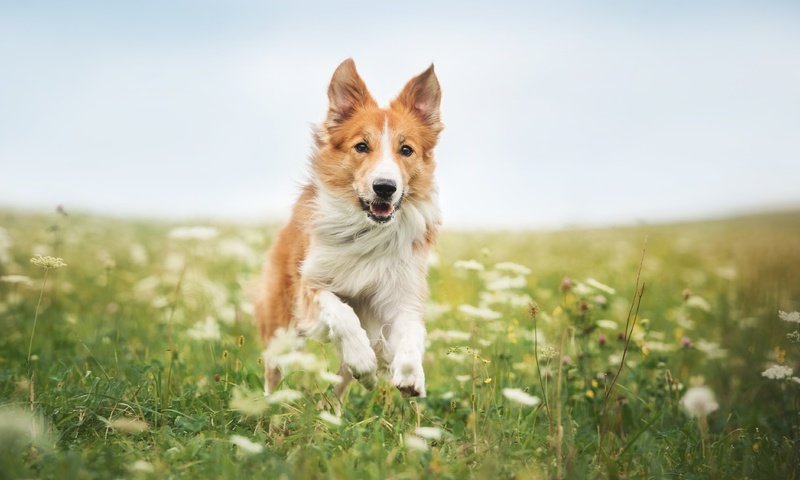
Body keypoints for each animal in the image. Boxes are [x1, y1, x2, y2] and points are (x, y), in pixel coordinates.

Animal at [255, 58, 444, 400]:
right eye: (361, 146)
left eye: (406, 150)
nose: (385, 187)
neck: (368, 231)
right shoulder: (310, 285)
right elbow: (342, 313)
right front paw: (363, 358)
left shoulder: (400, 294)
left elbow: (413, 330)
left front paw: (411, 375)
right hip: (281, 324)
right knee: (274, 370)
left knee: (340, 387)